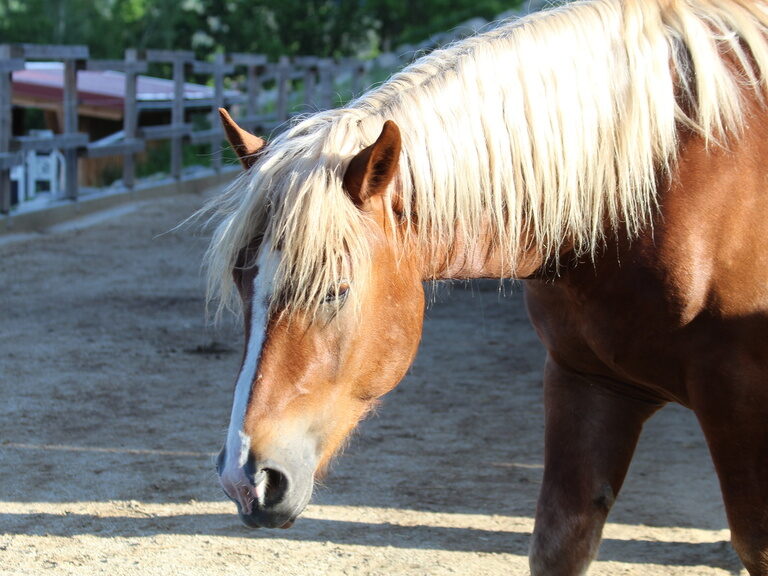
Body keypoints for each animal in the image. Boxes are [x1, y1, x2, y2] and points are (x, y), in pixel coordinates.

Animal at [202, 0, 768, 574]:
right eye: (241, 283)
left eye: (334, 290)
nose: (246, 480)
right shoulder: (587, 382)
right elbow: (560, 541)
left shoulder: (738, 396)